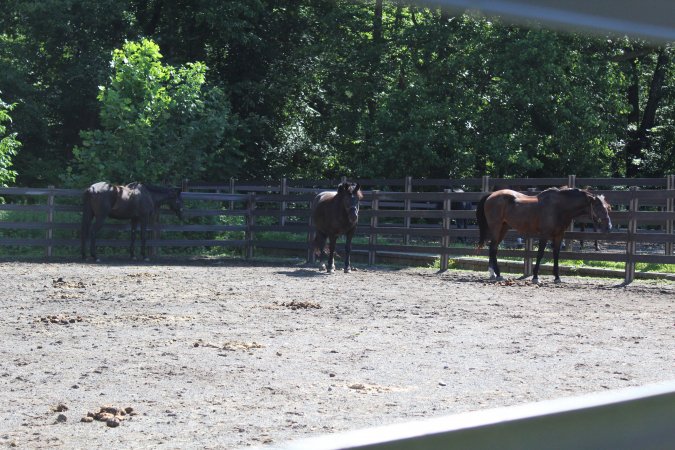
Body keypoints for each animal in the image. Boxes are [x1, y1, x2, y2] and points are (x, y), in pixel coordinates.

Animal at [476, 188, 612, 284]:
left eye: (607, 208)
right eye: (598, 207)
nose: (609, 228)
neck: (559, 207)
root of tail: (491, 195)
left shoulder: (559, 236)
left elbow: (556, 255)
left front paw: (557, 277)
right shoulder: (544, 235)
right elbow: (540, 254)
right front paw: (536, 277)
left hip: (503, 228)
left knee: (493, 248)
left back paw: (493, 274)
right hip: (496, 228)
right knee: (493, 249)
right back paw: (498, 275)